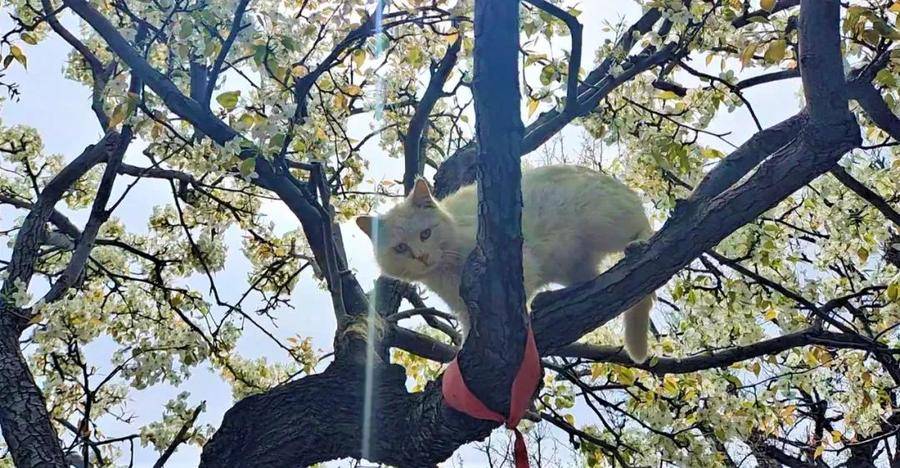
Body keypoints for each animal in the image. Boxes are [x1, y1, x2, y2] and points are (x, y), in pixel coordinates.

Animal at [356, 165, 652, 362]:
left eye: (425, 234)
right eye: (401, 248)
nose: (422, 256)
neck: (444, 272)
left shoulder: (521, 261)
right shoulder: (461, 306)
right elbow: (468, 329)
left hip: (599, 221)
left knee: (641, 228)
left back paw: (639, 244)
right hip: (570, 262)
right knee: (588, 281)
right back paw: (551, 298)